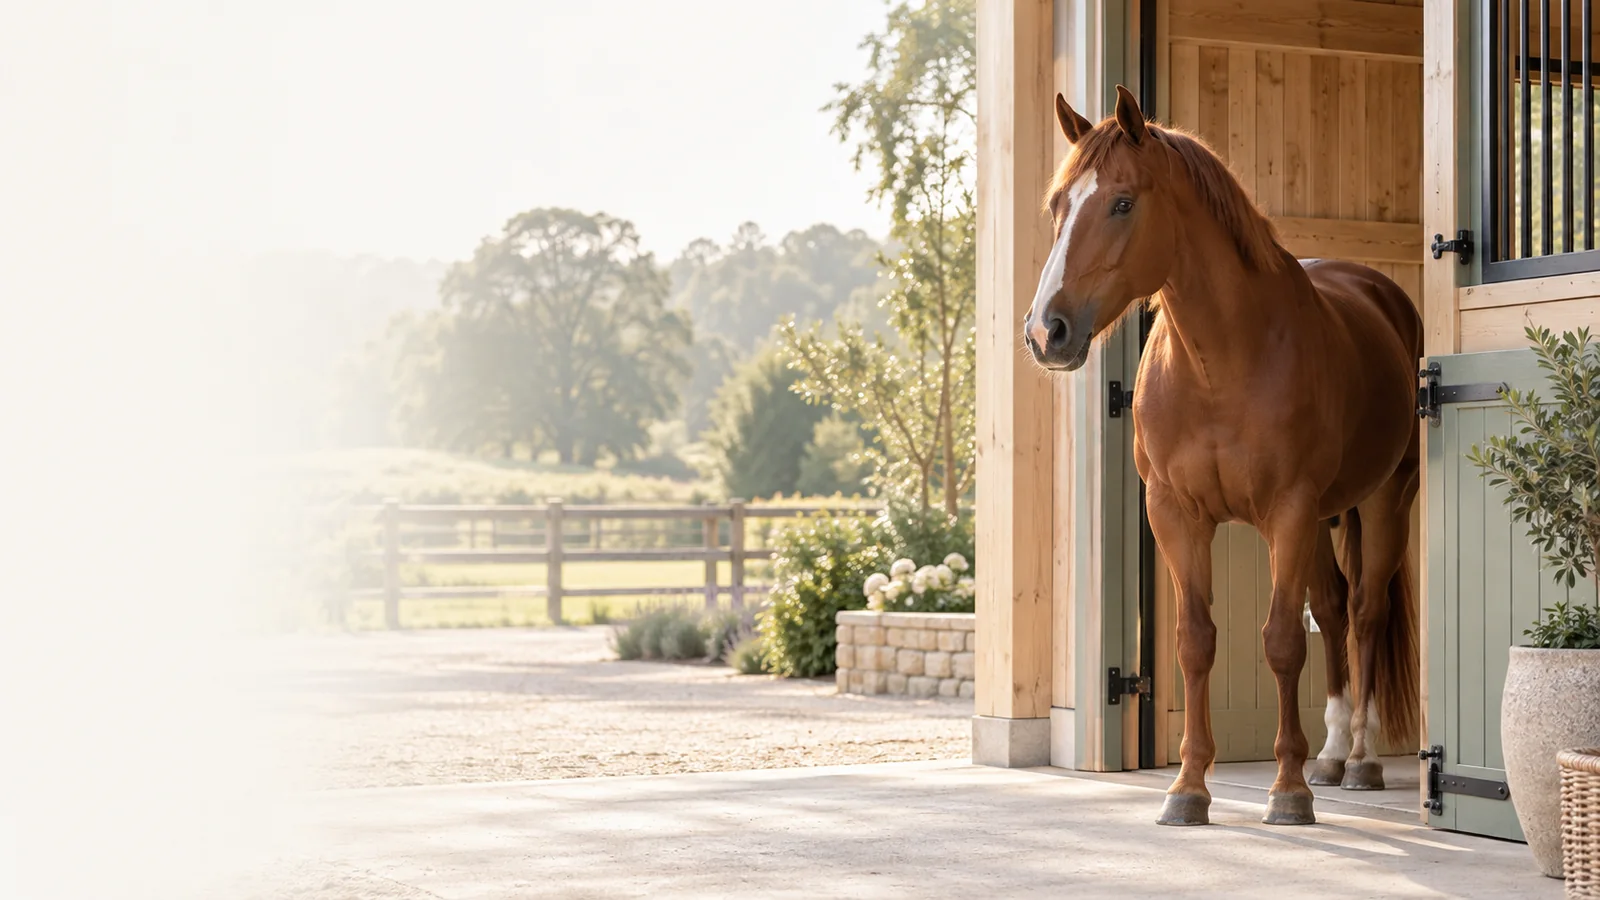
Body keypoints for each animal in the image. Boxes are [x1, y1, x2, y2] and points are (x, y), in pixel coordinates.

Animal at [1023, 85, 1420, 827]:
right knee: (1333, 608)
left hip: (1382, 503)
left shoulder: (1288, 512)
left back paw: (1359, 759)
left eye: (1123, 202)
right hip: (1324, 520)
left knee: (1364, 614)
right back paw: (1329, 755)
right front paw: (1188, 787)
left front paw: (1286, 791)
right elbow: (1195, 641)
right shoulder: (1176, 514)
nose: (1045, 331)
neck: (1222, 363)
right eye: (1058, 206)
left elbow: (1282, 642)